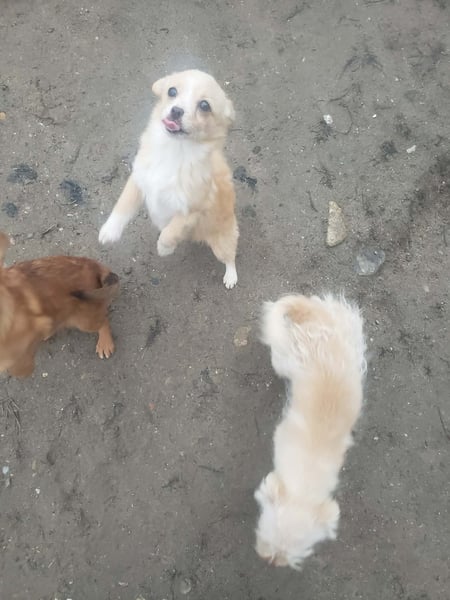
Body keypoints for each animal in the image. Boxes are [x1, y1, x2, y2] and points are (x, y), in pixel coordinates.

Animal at [99, 69, 239, 289]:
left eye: (204, 105)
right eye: (171, 91)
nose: (176, 111)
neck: (173, 151)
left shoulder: (191, 209)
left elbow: (171, 230)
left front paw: (165, 248)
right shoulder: (138, 180)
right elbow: (122, 206)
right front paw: (109, 230)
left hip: (221, 243)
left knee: (230, 256)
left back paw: (231, 276)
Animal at [254, 294, 366, 569]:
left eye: (296, 556)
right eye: (266, 540)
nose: (271, 562)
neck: (304, 483)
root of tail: (318, 321)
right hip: (286, 356)